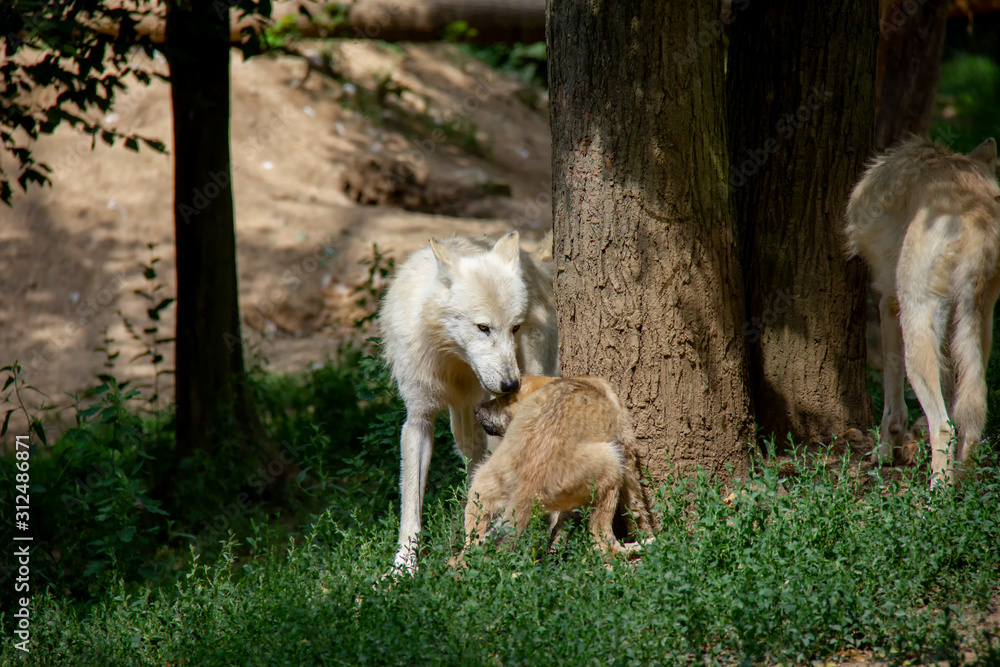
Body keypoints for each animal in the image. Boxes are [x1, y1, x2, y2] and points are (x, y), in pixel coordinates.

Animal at [379, 232, 559, 572]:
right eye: (483, 328)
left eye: (514, 327)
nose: (510, 384)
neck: (454, 362)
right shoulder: (418, 420)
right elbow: (410, 503)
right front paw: (403, 567)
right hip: (461, 428)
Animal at [464, 375, 654, 557]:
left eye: (505, 398)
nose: (475, 410)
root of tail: (527, 487)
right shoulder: (627, 454)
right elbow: (636, 508)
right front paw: (645, 533)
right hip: (611, 465)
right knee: (602, 546)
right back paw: (641, 546)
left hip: (480, 485)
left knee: (470, 545)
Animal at [845, 136, 1000, 484]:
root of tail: (976, 218)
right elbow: (952, 390)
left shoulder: (888, 306)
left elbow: (892, 403)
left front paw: (885, 453)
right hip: (979, 327)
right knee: (971, 414)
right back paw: (961, 482)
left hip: (915, 333)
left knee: (943, 425)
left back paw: (938, 492)